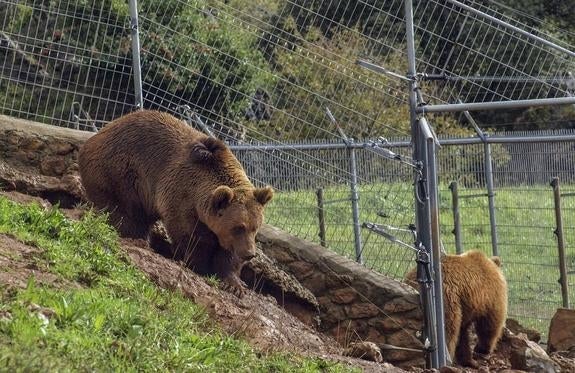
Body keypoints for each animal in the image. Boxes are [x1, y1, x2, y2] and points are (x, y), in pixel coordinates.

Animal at [79, 109, 274, 294]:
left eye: (255, 228)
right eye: (238, 227)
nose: (250, 254)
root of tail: (97, 134)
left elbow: (228, 253)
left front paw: (234, 284)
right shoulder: (182, 197)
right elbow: (191, 237)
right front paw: (200, 265)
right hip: (120, 173)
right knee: (127, 212)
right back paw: (138, 238)